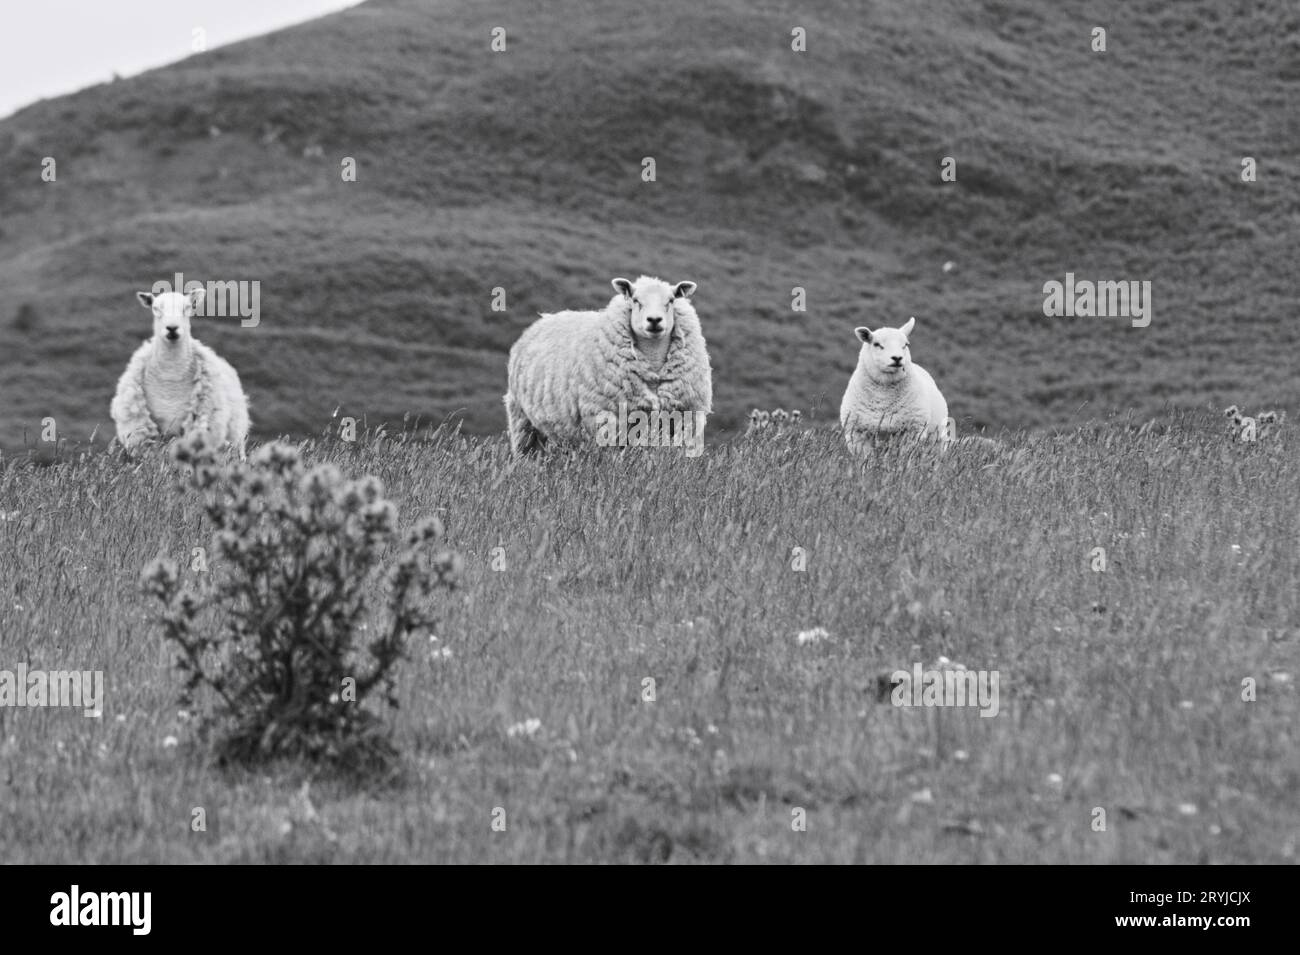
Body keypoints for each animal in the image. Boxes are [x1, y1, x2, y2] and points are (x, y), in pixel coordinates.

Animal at [504, 274, 712, 457]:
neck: (653, 364)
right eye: (635, 300)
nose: (654, 320)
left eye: (671, 300)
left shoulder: (680, 422)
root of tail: (544, 319)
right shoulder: (605, 421)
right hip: (522, 420)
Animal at [837, 315, 951, 457]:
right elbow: (866, 458)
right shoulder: (857, 433)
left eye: (906, 344)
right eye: (876, 344)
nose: (897, 358)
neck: (884, 393)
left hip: (936, 440)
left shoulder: (912, 432)